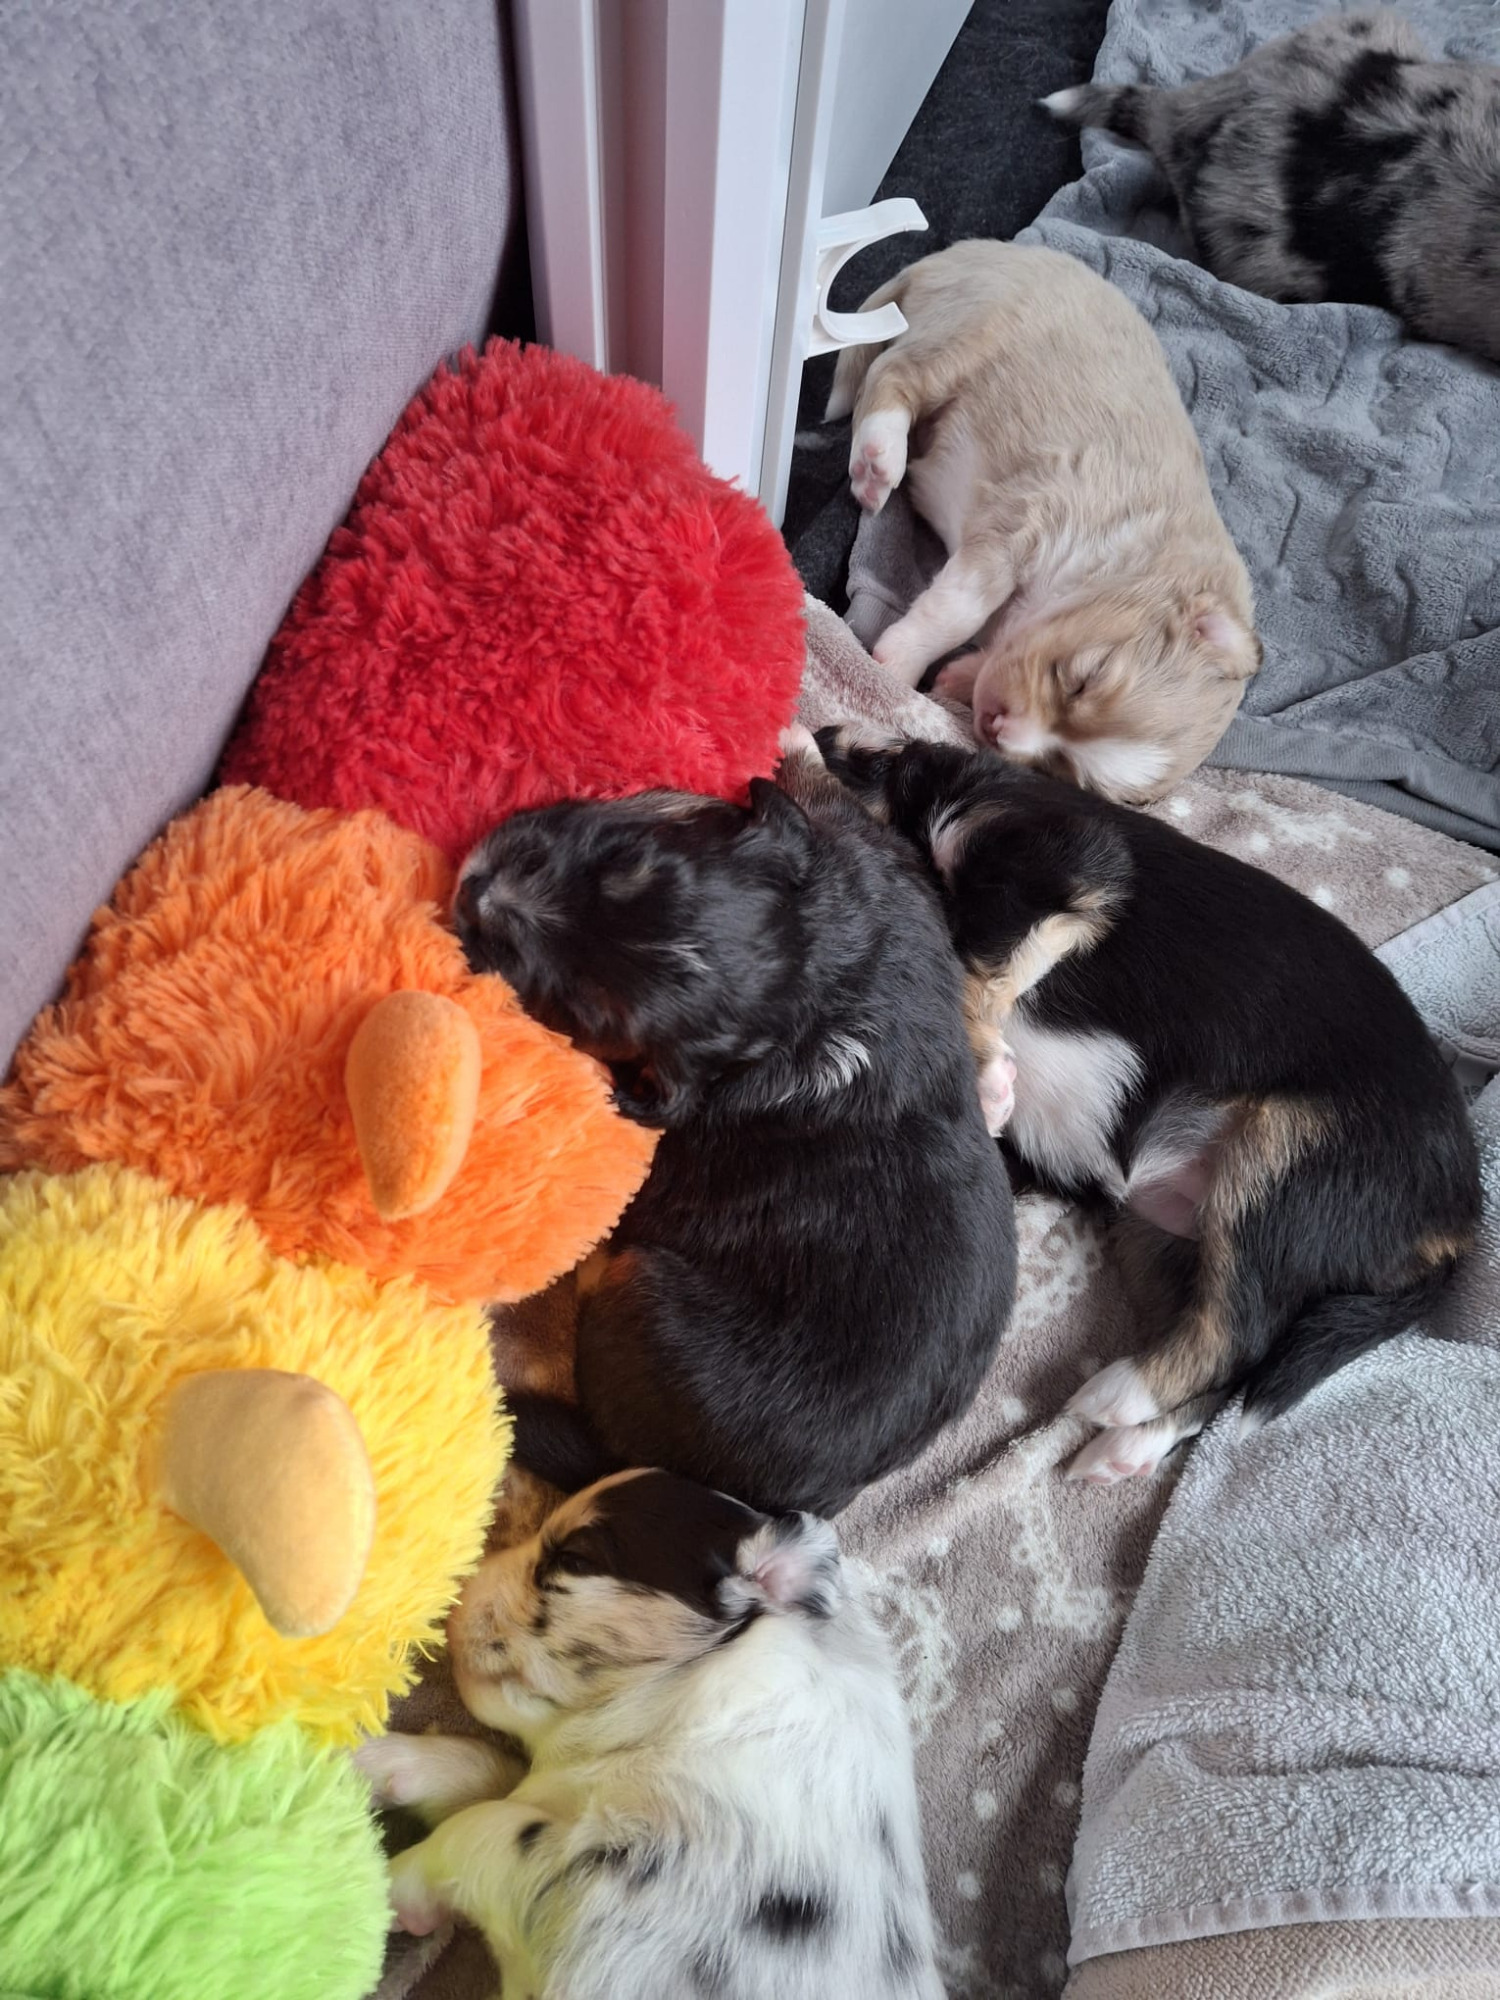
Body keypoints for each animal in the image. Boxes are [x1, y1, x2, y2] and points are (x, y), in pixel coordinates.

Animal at [356, 1469, 944, 2000]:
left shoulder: (609, 1887)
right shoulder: (559, 1783)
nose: (451, 1592)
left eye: (574, 1560)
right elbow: (495, 1777)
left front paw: (384, 1886)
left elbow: (485, 1825)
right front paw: (380, 1763)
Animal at [454, 732, 1016, 1516]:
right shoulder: (888, 883)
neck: (808, 992)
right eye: (628, 859)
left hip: (647, 1297)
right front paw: (799, 748)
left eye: (581, 1010)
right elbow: (836, 813)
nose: (476, 890)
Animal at [814, 726, 1481, 1483]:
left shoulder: (1060, 858)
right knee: (1237, 1349)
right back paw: (1124, 1449)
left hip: (1288, 1163)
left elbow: (972, 956)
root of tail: (1459, 1223)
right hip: (1165, 1238)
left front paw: (986, 1078)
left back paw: (1119, 1395)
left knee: (1244, 1331)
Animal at [825, 240, 1259, 802]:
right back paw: (879, 460)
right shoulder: (1022, 523)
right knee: (891, 373)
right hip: (966, 336)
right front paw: (899, 662)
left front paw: (955, 677)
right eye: (1083, 679)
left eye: (1059, 767)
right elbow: (958, 609)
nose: (994, 727)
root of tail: (962, 252)